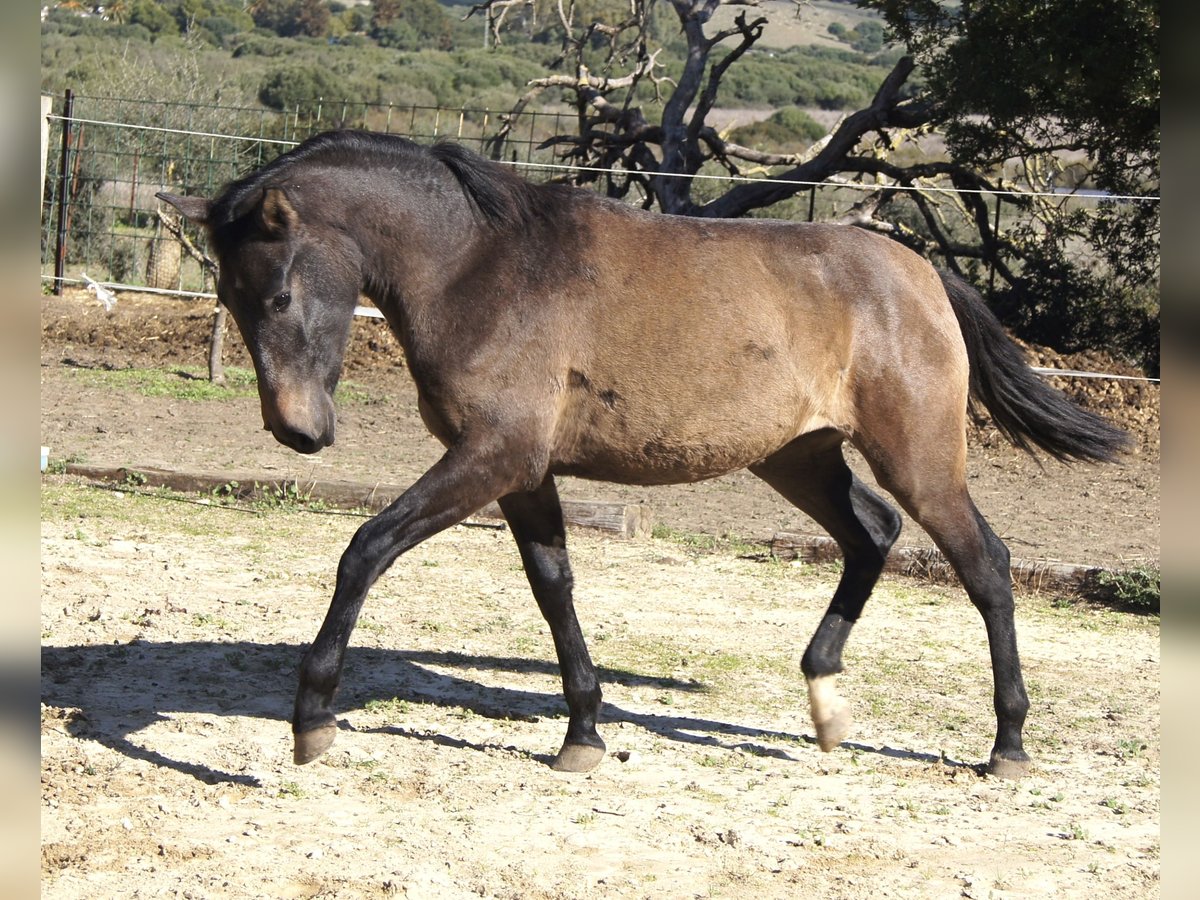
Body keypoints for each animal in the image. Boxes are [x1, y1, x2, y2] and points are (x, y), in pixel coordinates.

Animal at [157, 129, 1128, 779]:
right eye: (228, 297)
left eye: (280, 295)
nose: (299, 432)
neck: (482, 268)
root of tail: (922, 271)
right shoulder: (524, 472)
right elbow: (554, 588)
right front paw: (583, 735)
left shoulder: (492, 456)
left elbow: (365, 549)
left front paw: (311, 718)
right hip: (799, 457)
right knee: (873, 536)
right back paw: (826, 705)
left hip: (918, 456)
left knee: (986, 564)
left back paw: (1007, 744)